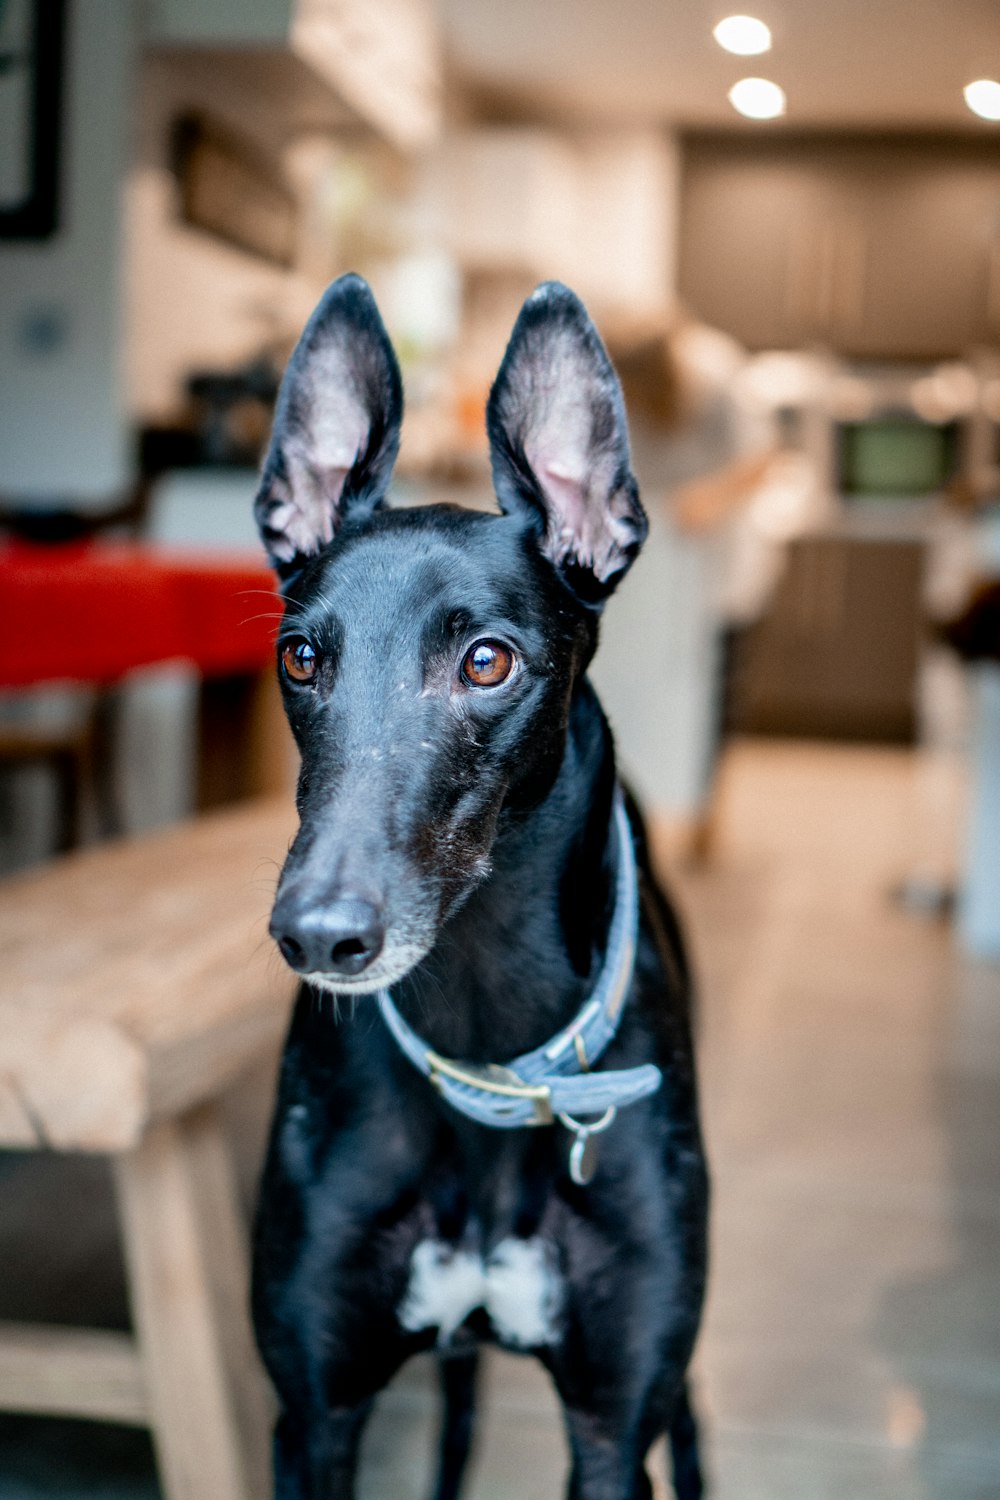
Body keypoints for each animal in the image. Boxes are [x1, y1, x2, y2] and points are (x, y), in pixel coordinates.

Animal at [250, 276, 707, 1500]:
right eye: (301, 657)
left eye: (487, 660)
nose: (317, 936)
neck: (487, 1049)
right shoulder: (315, 1415)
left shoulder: (612, 1431)